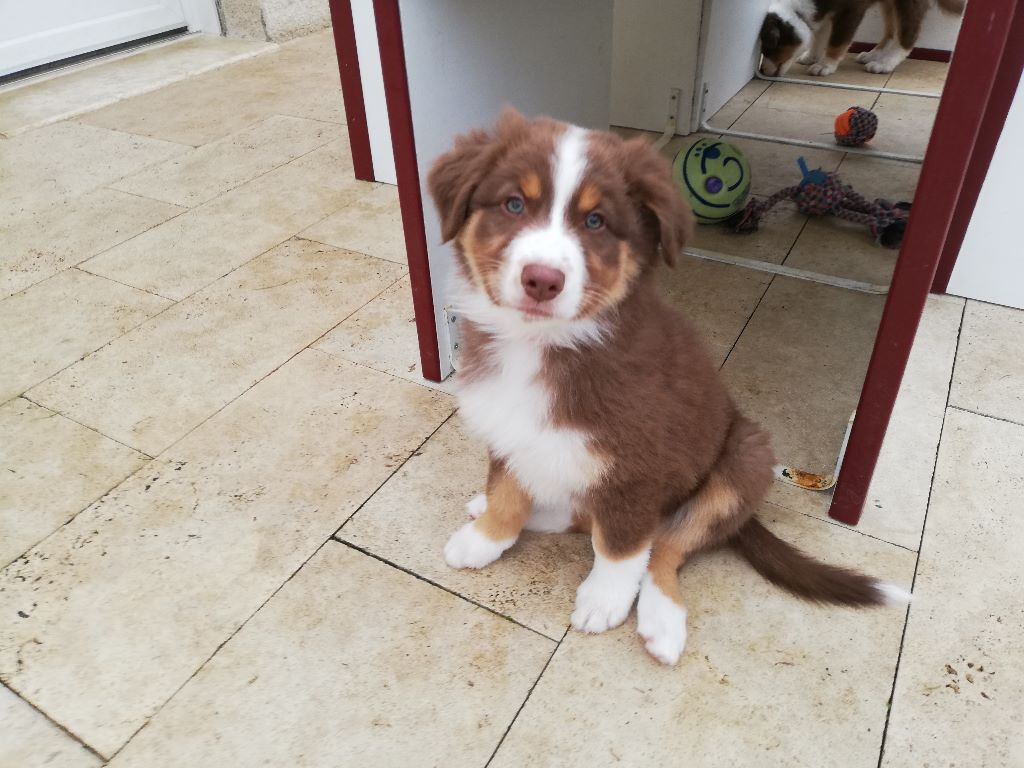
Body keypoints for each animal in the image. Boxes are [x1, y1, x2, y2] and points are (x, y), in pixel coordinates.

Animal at [427, 109, 909, 665]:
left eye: (596, 222)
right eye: (513, 204)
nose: (542, 280)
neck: (544, 344)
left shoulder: (637, 469)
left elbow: (620, 547)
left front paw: (604, 601)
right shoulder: (508, 429)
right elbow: (507, 490)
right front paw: (486, 538)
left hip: (742, 459)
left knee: (665, 545)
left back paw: (661, 622)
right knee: (580, 513)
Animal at [760, 0, 964, 77]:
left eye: (768, 47)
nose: (761, 71)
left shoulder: (851, 9)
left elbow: (837, 41)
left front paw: (825, 66)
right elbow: (820, 35)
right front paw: (811, 57)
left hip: (907, 3)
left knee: (907, 35)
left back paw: (884, 63)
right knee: (891, 30)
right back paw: (874, 55)